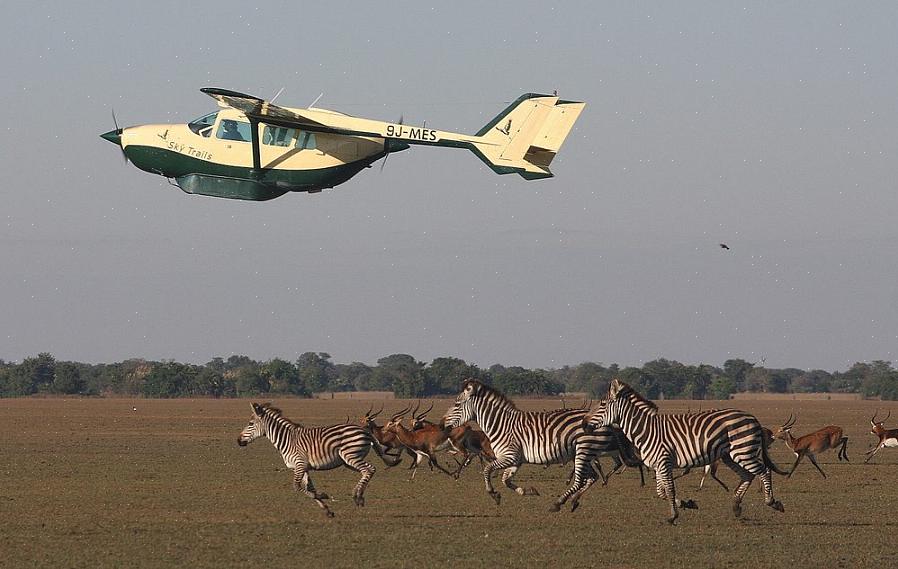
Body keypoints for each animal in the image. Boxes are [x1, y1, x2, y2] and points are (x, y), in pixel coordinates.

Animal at [236, 402, 398, 516]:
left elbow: (297, 487)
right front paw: (327, 510)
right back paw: (357, 496)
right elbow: (309, 487)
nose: (238, 441)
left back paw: (357, 496)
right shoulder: (303, 467)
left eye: (250, 424)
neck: (287, 440)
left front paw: (323, 495)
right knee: (366, 471)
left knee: (370, 469)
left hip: (350, 456)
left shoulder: (299, 464)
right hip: (349, 460)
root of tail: (365, 431)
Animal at [440, 380, 636, 512]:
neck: (501, 424)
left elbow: (488, 470)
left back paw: (558, 503)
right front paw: (528, 491)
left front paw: (493, 494)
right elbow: (505, 480)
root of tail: (606, 421)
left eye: (456, 404)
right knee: (590, 478)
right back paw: (574, 501)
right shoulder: (516, 460)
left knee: (581, 480)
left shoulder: (509, 456)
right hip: (585, 453)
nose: (441, 424)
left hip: (583, 451)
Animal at [580, 378, 784, 524]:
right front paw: (686, 504)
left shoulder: (663, 462)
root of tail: (753, 417)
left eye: (602, 404)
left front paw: (672, 516)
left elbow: (669, 490)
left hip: (743, 450)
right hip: (730, 456)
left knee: (764, 471)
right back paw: (736, 507)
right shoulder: (658, 465)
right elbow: (661, 492)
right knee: (747, 475)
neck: (646, 429)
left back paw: (772, 502)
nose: (583, 424)